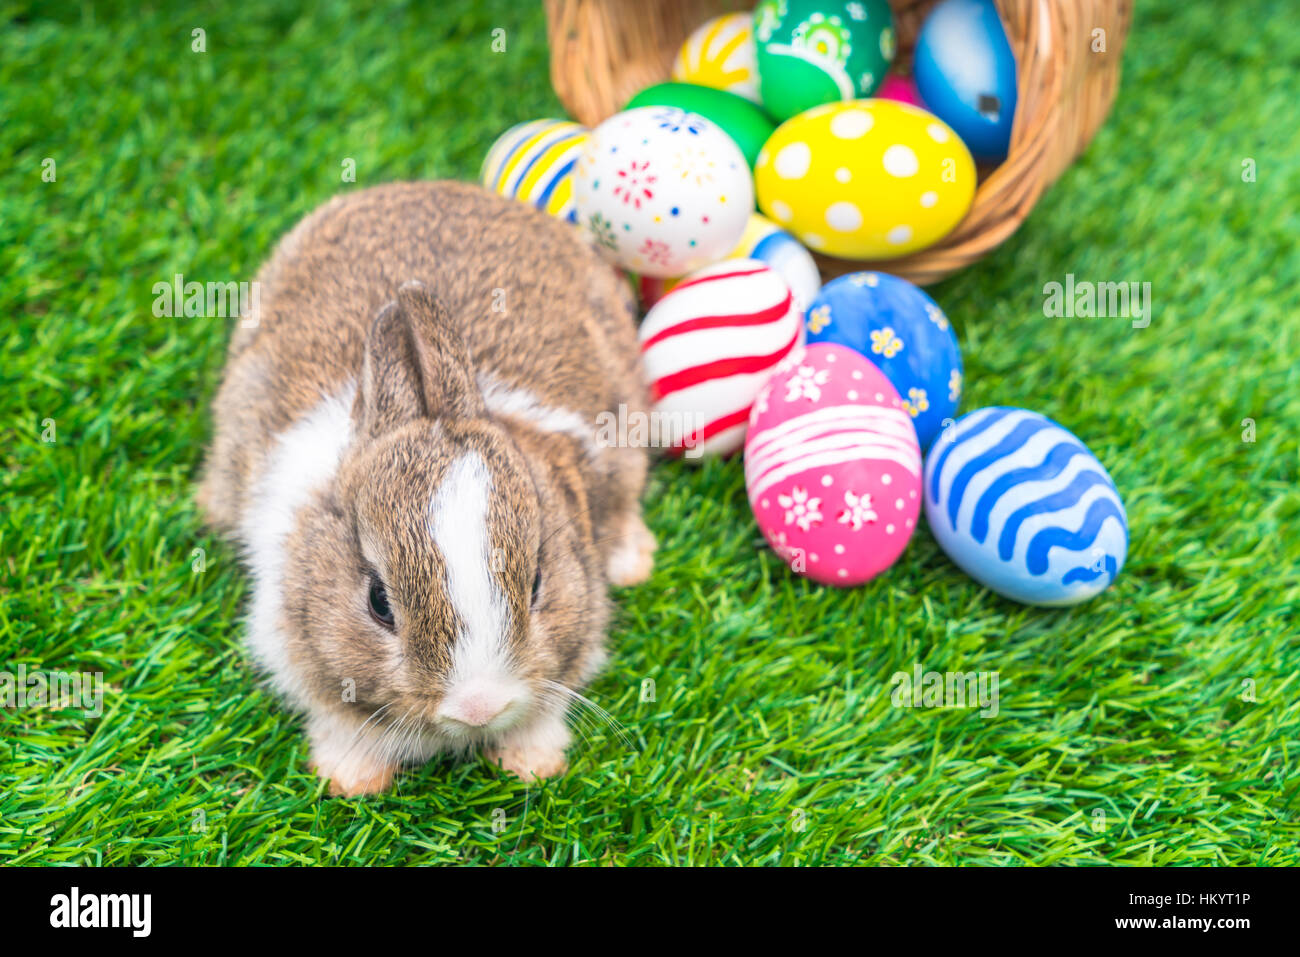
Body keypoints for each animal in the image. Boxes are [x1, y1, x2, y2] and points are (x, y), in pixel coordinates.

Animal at [198, 181, 656, 796]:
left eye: (537, 583)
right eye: (378, 602)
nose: (478, 706)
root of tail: (433, 187)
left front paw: (532, 764)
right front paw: (353, 780)